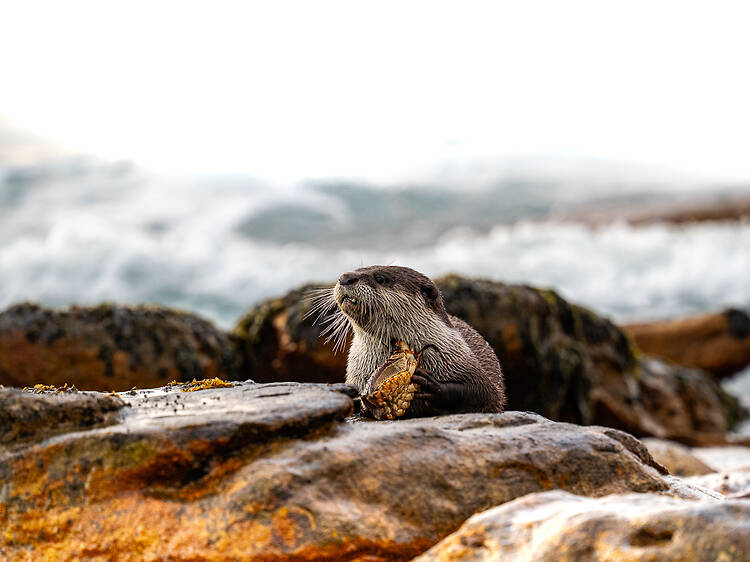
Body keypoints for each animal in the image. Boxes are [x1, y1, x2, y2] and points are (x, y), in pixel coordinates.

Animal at [312, 265, 506, 417]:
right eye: (357, 268)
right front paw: (361, 402)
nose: (345, 277)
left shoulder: (465, 364)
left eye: (380, 278)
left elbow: (485, 394)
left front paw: (431, 386)